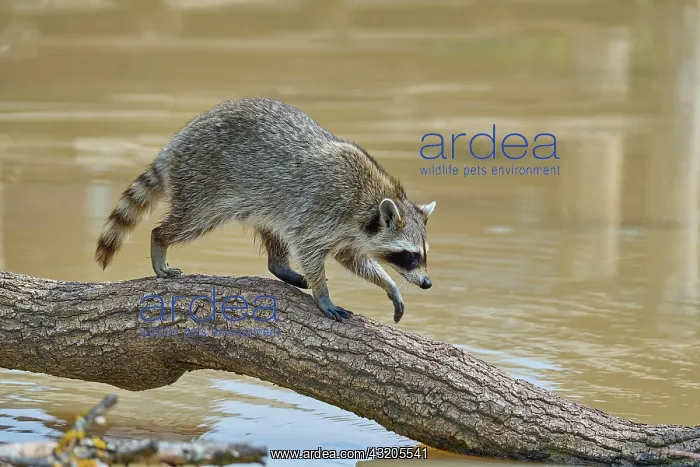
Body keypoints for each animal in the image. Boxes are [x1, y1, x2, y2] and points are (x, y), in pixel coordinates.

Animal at [95, 98, 436, 323]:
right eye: (410, 256)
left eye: (423, 255)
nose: (427, 284)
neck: (369, 199)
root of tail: (174, 145)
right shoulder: (322, 209)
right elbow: (310, 251)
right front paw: (322, 294)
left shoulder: (345, 231)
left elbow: (352, 260)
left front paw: (389, 284)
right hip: (202, 182)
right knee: (189, 221)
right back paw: (160, 240)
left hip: (261, 201)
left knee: (273, 229)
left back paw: (279, 266)